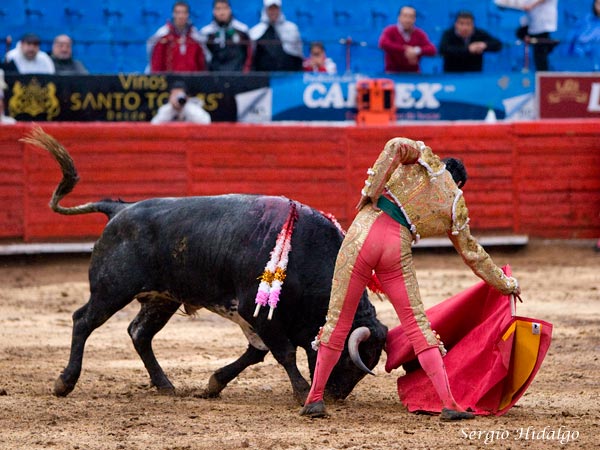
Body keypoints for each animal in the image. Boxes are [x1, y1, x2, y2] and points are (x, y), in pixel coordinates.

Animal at [22, 127, 387, 405]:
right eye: (351, 359)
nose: (336, 396)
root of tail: (120, 209)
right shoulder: (258, 312)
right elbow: (282, 352)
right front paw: (301, 392)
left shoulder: (252, 317)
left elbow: (256, 353)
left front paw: (213, 384)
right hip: (112, 288)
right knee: (83, 320)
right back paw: (65, 382)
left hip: (161, 298)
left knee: (139, 333)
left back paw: (165, 384)